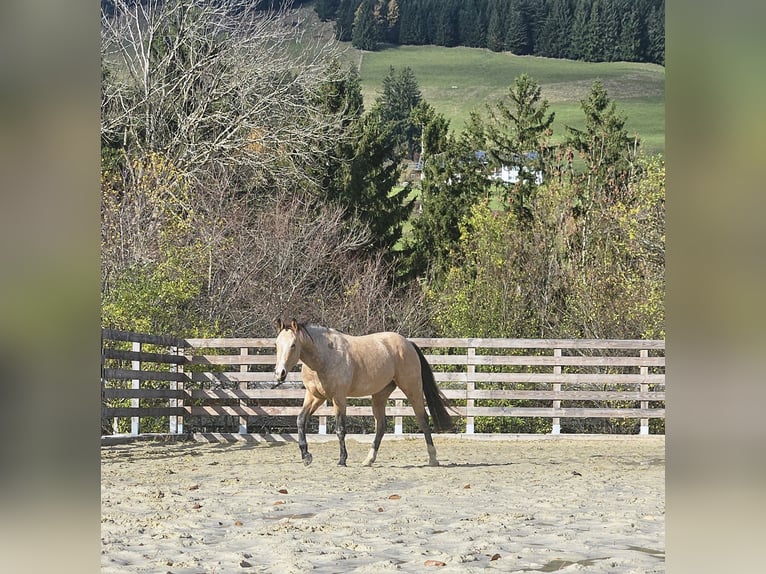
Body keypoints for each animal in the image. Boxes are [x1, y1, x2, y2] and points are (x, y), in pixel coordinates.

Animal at [273, 319, 453, 467]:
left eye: (293, 345)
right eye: (276, 344)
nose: (279, 373)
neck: (324, 356)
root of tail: (408, 343)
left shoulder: (338, 398)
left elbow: (340, 429)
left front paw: (342, 460)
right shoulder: (315, 396)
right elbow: (300, 420)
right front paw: (306, 456)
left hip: (412, 388)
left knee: (422, 419)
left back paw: (433, 459)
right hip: (380, 394)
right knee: (381, 425)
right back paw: (369, 460)